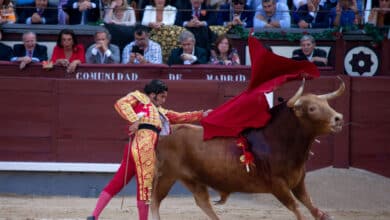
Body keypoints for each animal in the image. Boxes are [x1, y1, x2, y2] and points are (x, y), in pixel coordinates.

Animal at [152, 78, 344, 220]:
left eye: (327, 104)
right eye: (312, 108)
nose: (338, 118)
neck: (277, 141)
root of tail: (167, 131)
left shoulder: (298, 182)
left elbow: (310, 205)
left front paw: (323, 215)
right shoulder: (278, 185)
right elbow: (296, 208)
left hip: (192, 179)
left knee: (202, 201)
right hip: (167, 175)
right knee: (155, 201)